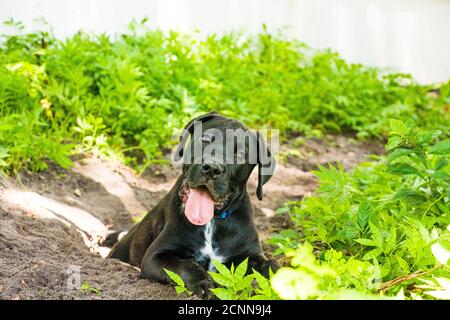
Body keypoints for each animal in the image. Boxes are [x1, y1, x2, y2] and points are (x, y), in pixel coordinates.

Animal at [107, 112, 280, 298]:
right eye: (205, 139)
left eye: (240, 155)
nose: (212, 168)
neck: (212, 222)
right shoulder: (155, 256)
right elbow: (184, 265)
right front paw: (203, 283)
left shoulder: (250, 254)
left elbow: (272, 265)